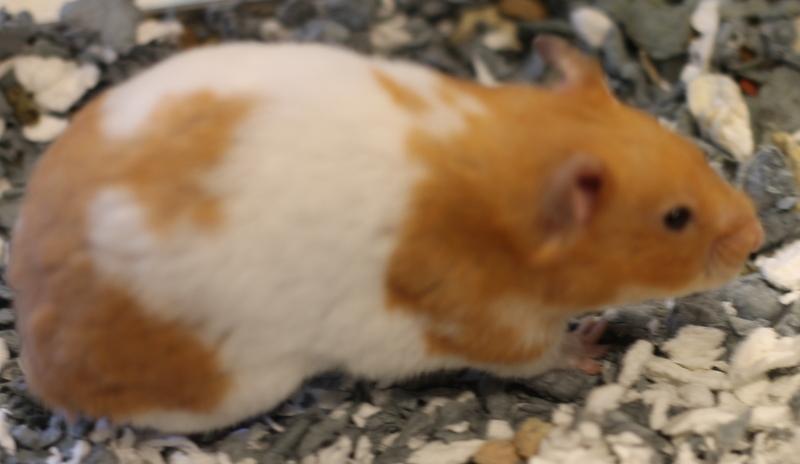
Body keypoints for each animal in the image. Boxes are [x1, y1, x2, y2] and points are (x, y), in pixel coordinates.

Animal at [6, 35, 763, 433]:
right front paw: (592, 345)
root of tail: (34, 360)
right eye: (675, 218)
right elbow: (541, 352)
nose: (756, 236)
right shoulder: (480, 322)